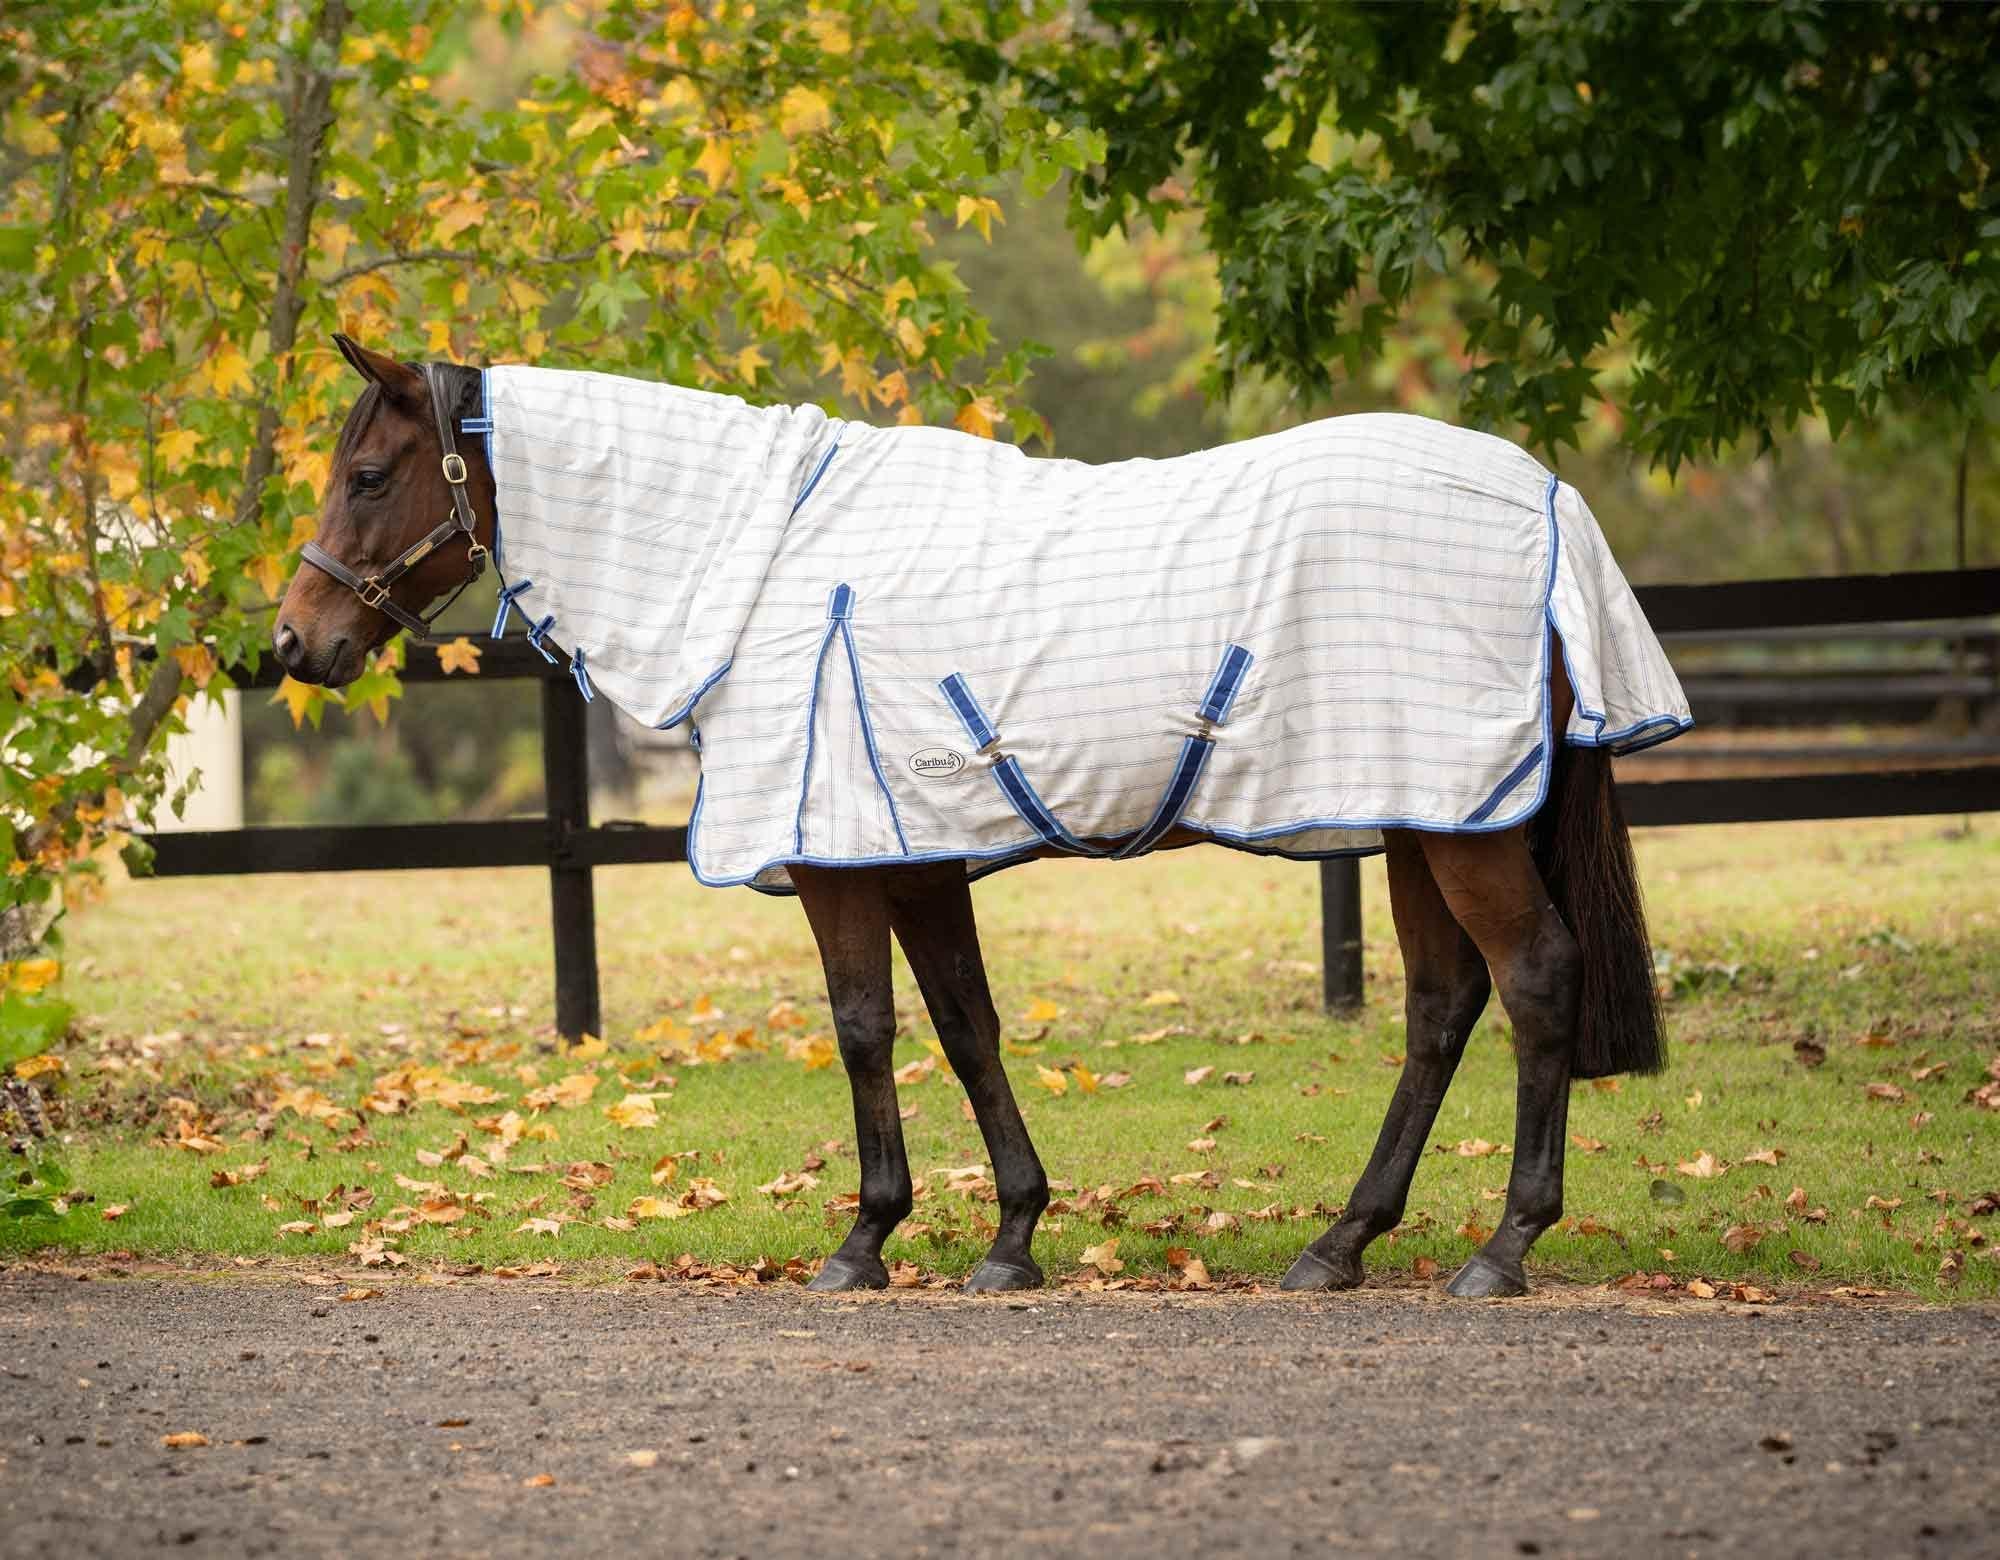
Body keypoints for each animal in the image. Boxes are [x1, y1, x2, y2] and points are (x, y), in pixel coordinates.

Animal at [275, 335, 1689, 1299]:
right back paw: (1339, 1243)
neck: (765, 561)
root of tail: (1546, 503)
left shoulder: (840, 864)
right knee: (1441, 1007)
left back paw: (1501, 1248)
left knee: (1534, 979)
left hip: (1462, 828)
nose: (296, 641)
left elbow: (863, 1028)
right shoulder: (915, 854)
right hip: (1412, 817)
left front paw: (864, 1236)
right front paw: (1012, 1234)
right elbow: (965, 1027)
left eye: (368, 473)